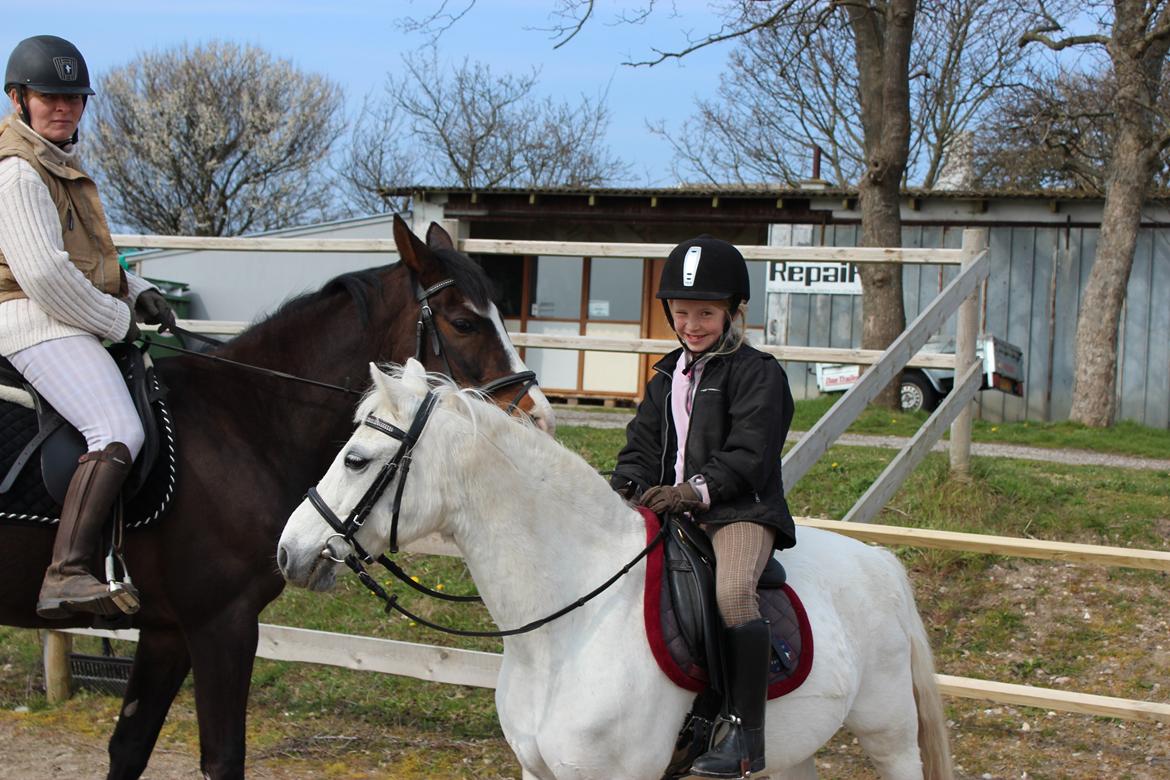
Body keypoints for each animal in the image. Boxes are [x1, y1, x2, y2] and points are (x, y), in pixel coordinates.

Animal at [0, 215, 554, 780]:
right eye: (464, 323)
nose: (536, 418)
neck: (243, 423)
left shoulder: (166, 629)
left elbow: (130, 746)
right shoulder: (221, 622)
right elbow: (223, 758)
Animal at [277, 360, 953, 780]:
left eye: (357, 459)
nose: (289, 551)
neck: (568, 627)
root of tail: (879, 564)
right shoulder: (536, 769)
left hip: (889, 734)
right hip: (793, 748)